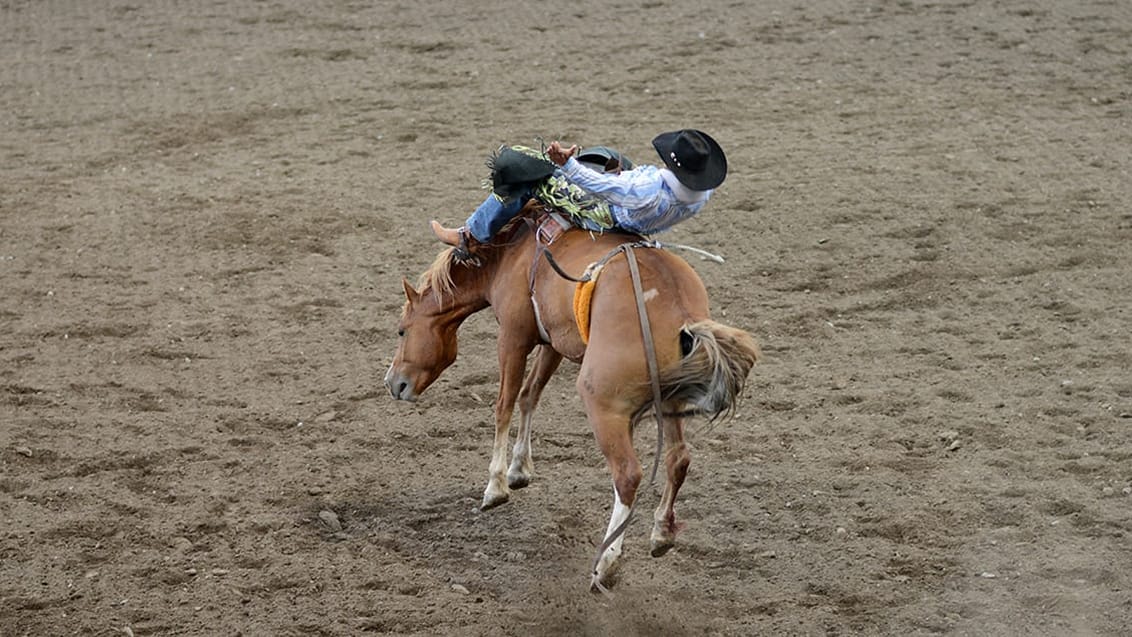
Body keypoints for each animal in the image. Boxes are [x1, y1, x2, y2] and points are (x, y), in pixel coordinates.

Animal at [382, 208, 760, 588]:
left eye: (401, 330)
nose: (393, 384)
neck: (509, 252)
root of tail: (681, 313)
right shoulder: (553, 340)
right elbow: (529, 395)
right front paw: (519, 470)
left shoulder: (513, 338)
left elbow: (504, 404)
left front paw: (496, 486)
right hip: (670, 400)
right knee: (677, 460)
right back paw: (661, 535)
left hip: (603, 403)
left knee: (627, 474)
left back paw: (607, 564)